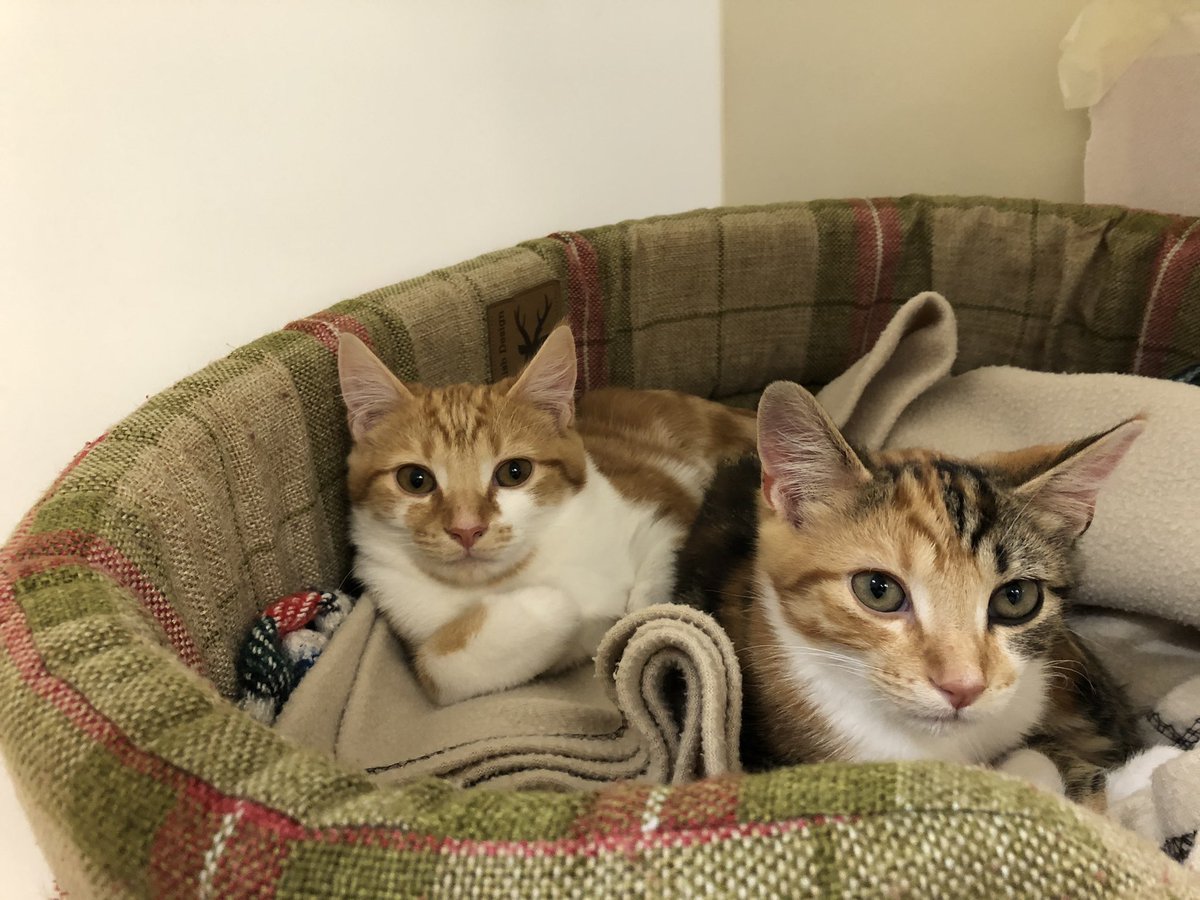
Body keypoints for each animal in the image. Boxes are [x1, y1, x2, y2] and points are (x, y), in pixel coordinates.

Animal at [338, 328, 753, 710]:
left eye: (514, 472)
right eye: (415, 480)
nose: (466, 528)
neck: (519, 570)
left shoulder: (662, 517)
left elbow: (656, 582)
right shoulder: (406, 617)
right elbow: (440, 666)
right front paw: (551, 602)